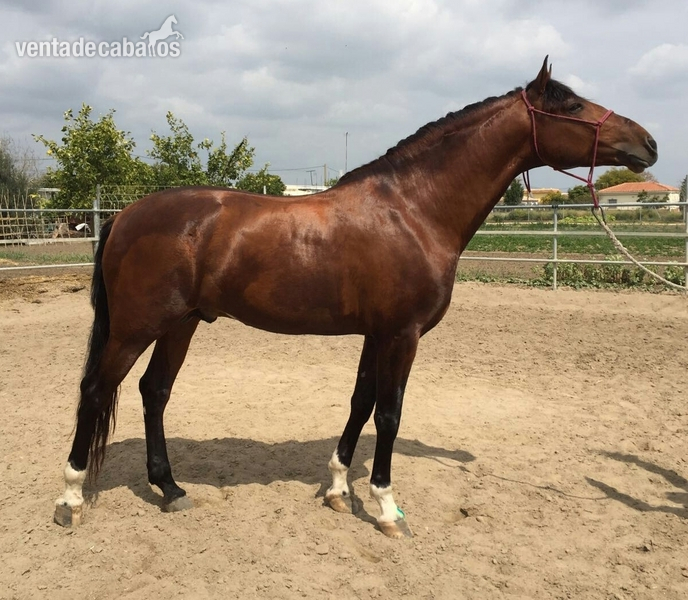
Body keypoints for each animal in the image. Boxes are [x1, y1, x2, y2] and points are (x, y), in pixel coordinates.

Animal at [54, 58, 657, 537]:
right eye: (573, 104)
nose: (648, 143)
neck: (414, 209)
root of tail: (125, 214)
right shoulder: (402, 334)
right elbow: (389, 414)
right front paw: (387, 508)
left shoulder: (376, 333)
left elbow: (359, 404)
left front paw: (339, 489)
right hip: (135, 327)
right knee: (95, 391)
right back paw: (70, 498)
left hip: (181, 323)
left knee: (153, 392)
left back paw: (171, 489)